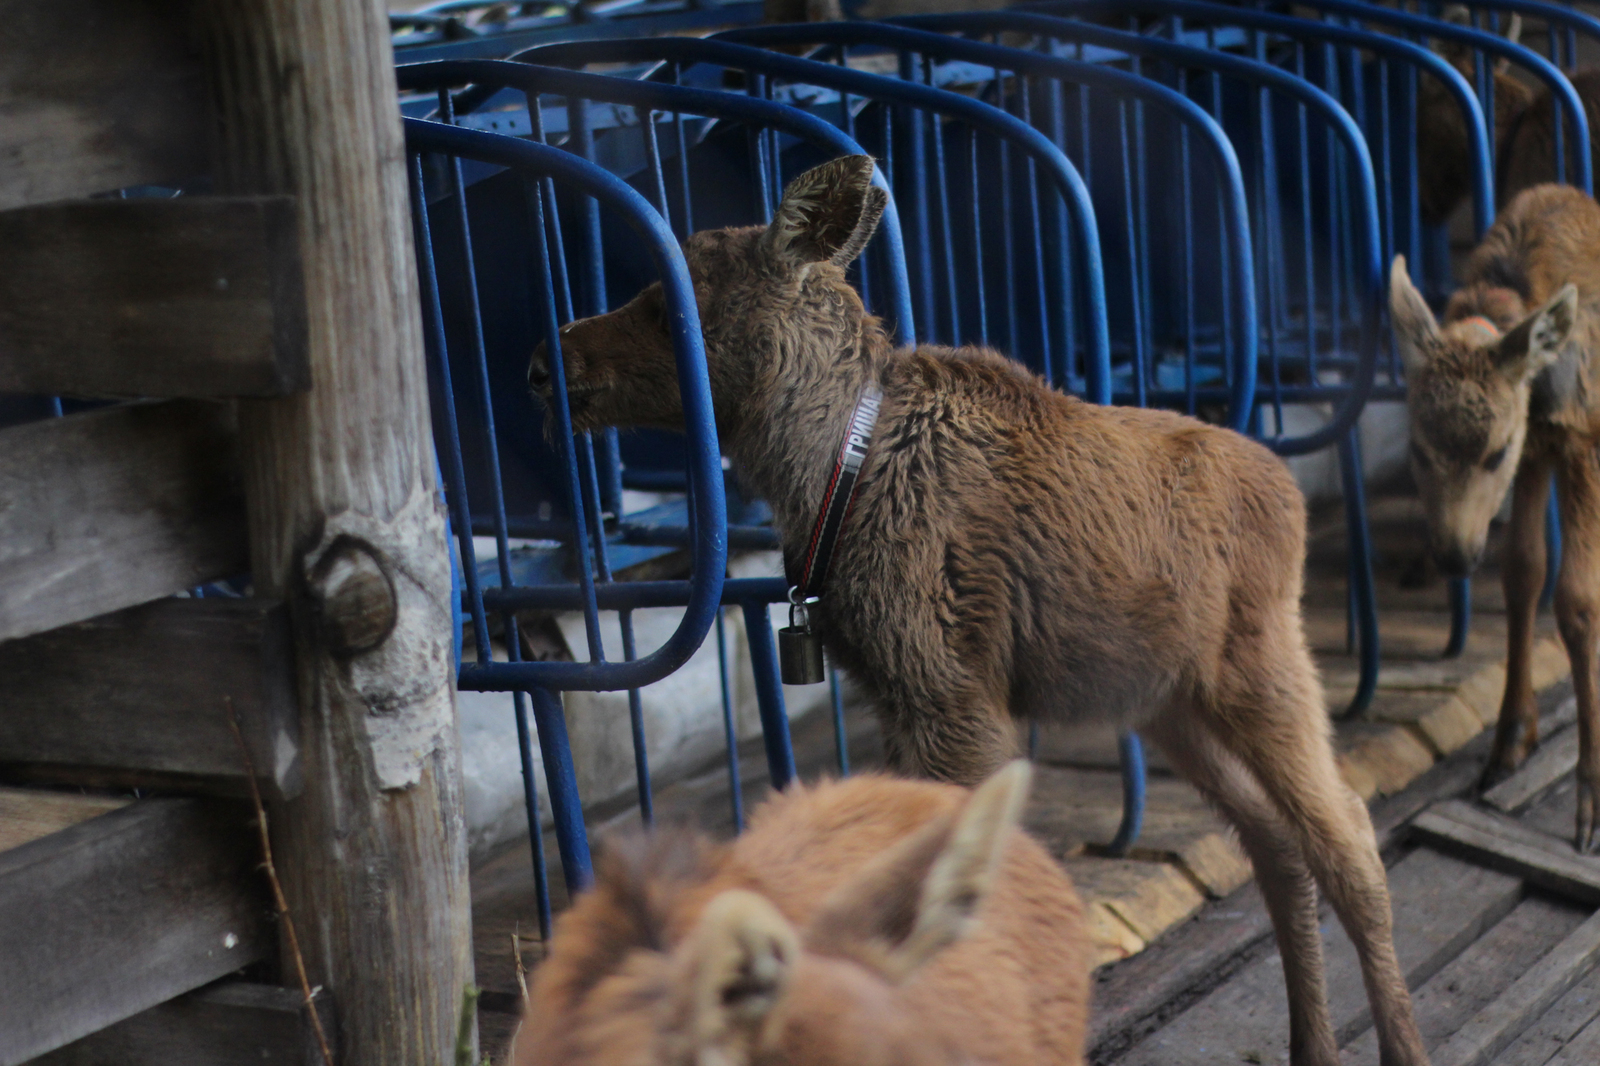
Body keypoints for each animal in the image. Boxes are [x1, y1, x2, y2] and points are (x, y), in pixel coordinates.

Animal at [1388, 182, 1600, 845]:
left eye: (1494, 451)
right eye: (1417, 447)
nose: (1455, 554)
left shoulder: (1578, 437)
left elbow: (1577, 601)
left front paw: (1589, 803)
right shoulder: (1539, 448)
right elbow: (1522, 574)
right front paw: (1509, 742)